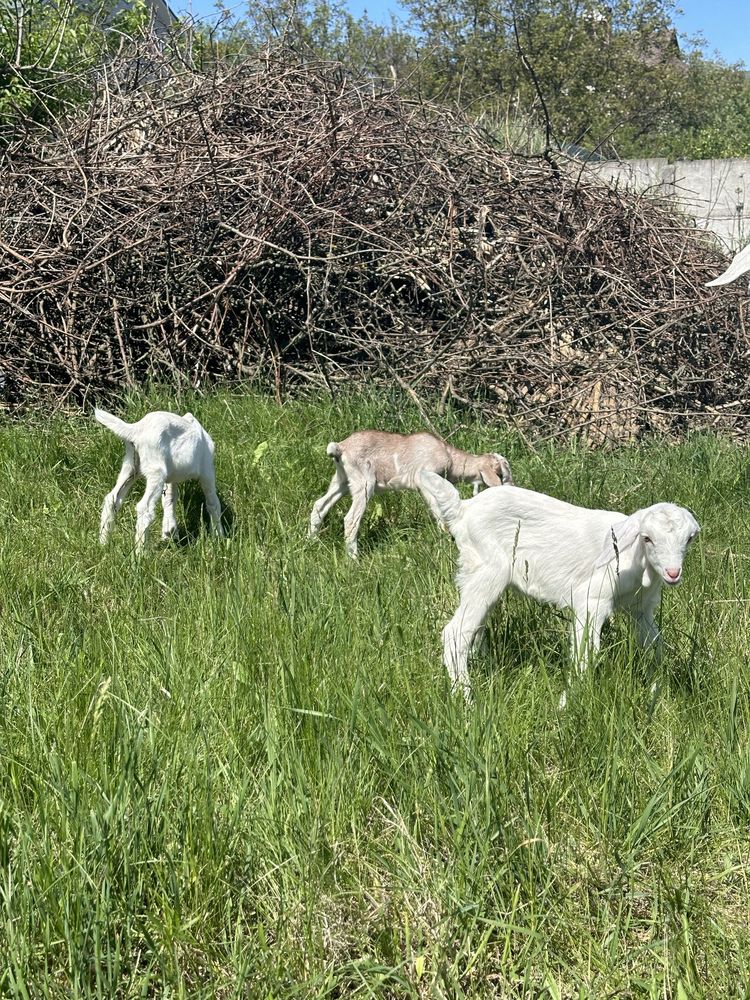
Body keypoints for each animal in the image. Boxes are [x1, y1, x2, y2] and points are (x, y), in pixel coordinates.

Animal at [94, 408, 225, 556]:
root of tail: (137, 428)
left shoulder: (171, 478)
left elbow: (169, 499)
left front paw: (169, 533)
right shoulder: (207, 471)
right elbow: (213, 503)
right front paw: (219, 537)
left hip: (130, 467)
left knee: (112, 498)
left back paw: (103, 543)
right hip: (156, 471)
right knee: (144, 507)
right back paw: (141, 554)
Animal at [308, 426, 516, 560]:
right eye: (504, 472)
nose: (513, 488)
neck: (450, 458)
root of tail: (340, 447)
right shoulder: (423, 479)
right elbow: (438, 510)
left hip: (342, 480)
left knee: (320, 505)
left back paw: (311, 542)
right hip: (364, 482)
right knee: (350, 519)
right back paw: (354, 559)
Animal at [420, 472, 704, 708]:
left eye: (689, 538)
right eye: (647, 538)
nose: (673, 573)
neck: (634, 557)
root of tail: (462, 510)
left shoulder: (641, 609)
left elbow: (655, 648)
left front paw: (656, 689)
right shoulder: (591, 600)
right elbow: (585, 654)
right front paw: (566, 706)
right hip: (488, 570)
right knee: (455, 633)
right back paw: (467, 700)